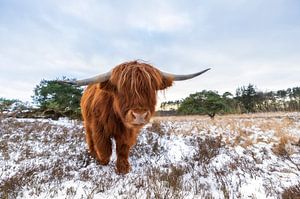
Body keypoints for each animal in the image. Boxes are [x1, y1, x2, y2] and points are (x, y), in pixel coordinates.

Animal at [66, 60, 211, 174]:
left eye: (150, 89)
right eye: (121, 89)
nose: (139, 115)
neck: (116, 117)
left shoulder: (128, 132)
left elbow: (123, 150)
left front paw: (123, 169)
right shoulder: (99, 129)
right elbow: (105, 150)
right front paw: (101, 163)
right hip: (87, 124)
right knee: (90, 140)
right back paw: (92, 155)